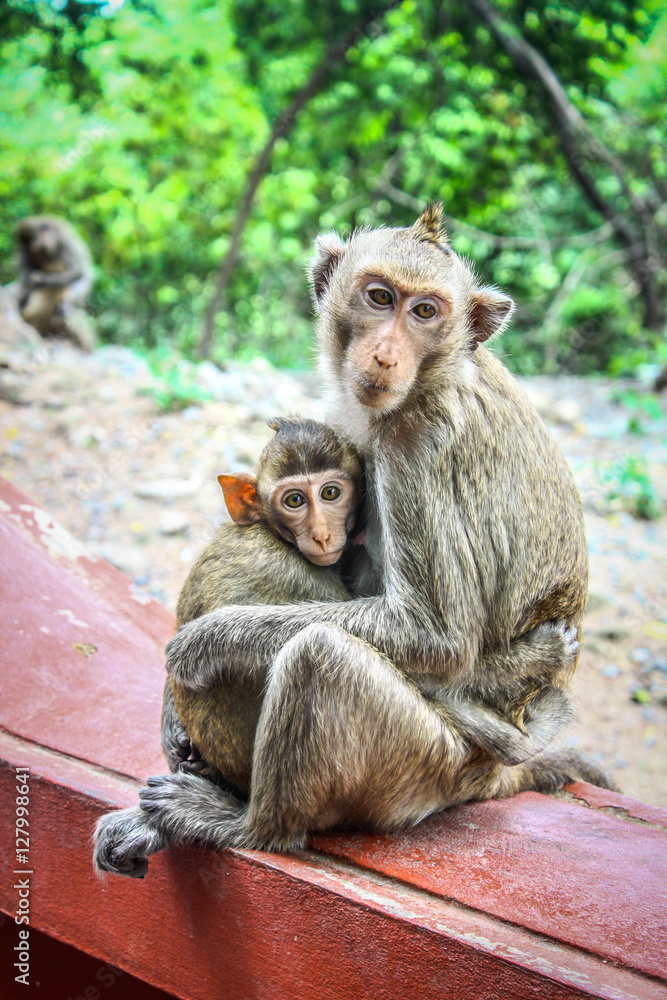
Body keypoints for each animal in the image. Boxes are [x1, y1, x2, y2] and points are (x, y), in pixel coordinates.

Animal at [14, 216, 95, 352]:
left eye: (39, 252)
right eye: (35, 255)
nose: (38, 260)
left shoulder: (65, 242)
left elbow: (76, 270)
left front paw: (36, 280)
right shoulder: (23, 254)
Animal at [94, 205, 614, 878]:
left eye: (426, 311)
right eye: (380, 297)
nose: (387, 354)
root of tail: (482, 778)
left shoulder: (417, 439)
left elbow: (436, 636)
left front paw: (208, 641)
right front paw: (171, 724)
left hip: (424, 764)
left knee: (320, 657)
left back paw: (248, 825)